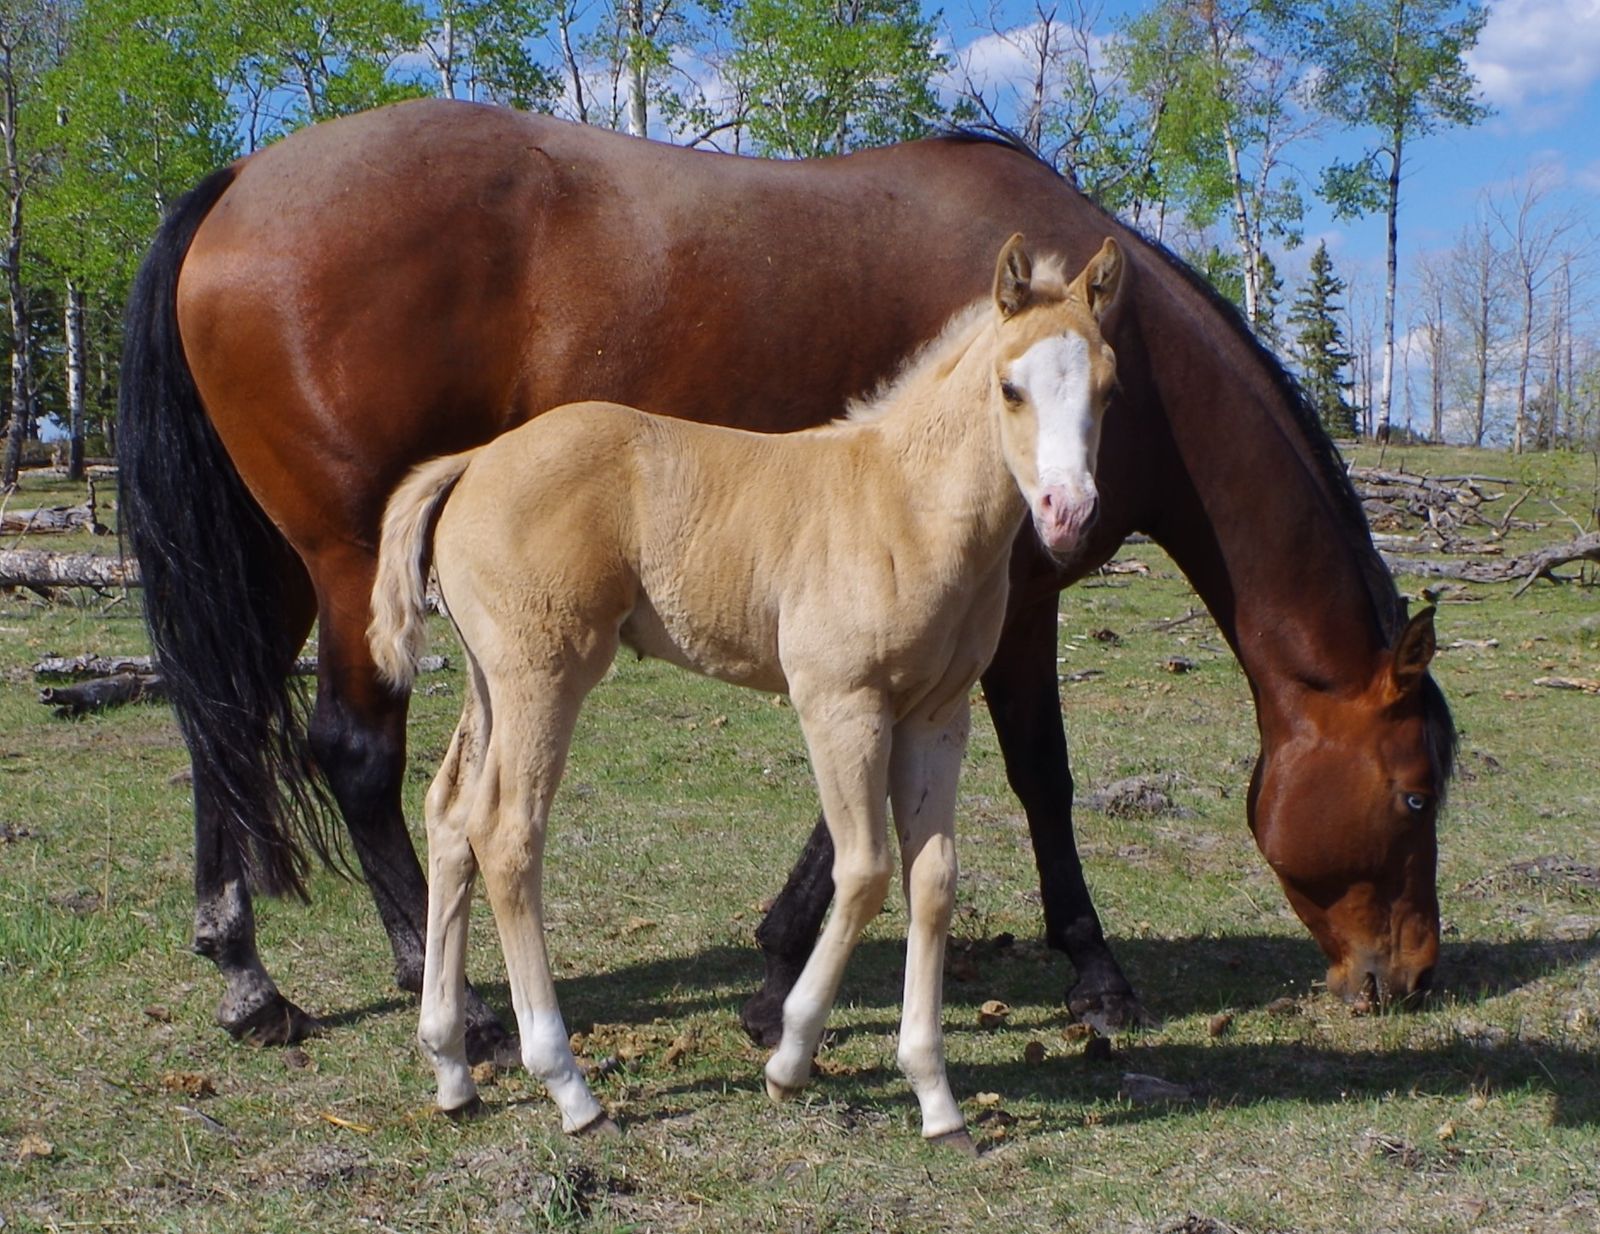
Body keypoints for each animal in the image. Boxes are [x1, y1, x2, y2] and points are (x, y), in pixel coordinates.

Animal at [119, 99, 1453, 1054]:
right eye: (1414, 796)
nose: (1407, 977)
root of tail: (243, 181)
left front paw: (777, 971)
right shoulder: (1010, 605)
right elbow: (1039, 779)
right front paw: (1094, 976)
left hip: (280, 565)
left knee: (221, 725)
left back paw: (249, 981)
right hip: (353, 562)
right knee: (351, 753)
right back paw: (446, 994)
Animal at [365, 236, 1123, 1147]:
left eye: (1109, 388)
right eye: (1010, 387)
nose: (1067, 512)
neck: (906, 507)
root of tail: (474, 459)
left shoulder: (937, 717)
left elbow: (932, 881)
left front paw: (936, 1098)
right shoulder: (839, 702)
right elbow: (866, 870)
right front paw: (790, 1060)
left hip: (491, 680)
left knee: (450, 816)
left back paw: (451, 1068)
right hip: (544, 675)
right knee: (507, 835)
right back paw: (571, 1089)